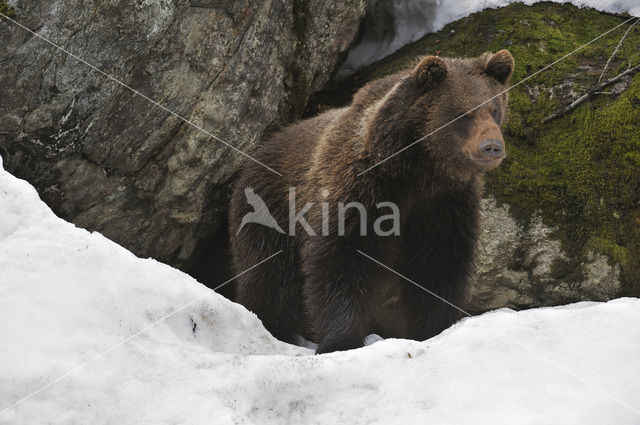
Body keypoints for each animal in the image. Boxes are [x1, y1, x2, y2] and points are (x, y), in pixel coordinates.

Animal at [230, 49, 516, 352]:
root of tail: (258, 153)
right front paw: (340, 340)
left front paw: (436, 327)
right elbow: (340, 259)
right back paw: (269, 325)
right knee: (269, 276)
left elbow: (439, 262)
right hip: (270, 210)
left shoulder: (444, 204)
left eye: (494, 109)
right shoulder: (358, 189)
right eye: (462, 113)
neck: (417, 170)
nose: (492, 147)